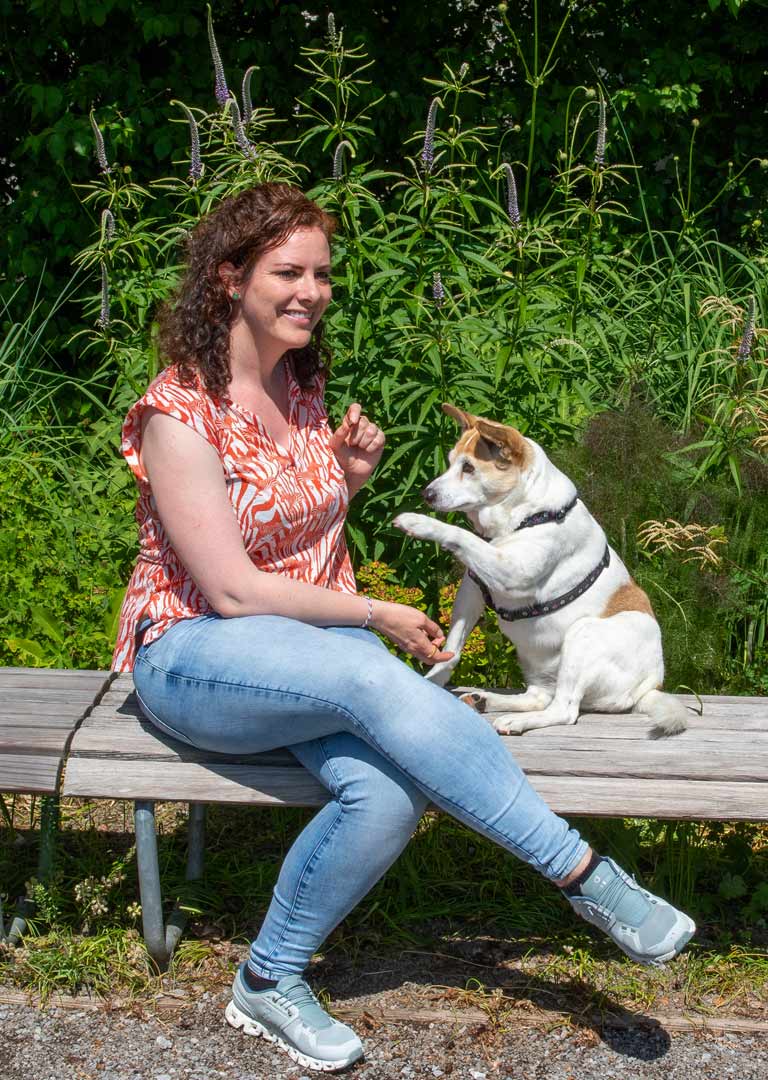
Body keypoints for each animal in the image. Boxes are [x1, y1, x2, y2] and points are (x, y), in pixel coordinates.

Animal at [393, 401, 686, 738]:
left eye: (469, 468)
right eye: (452, 462)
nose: (427, 494)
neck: (528, 514)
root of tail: (650, 685)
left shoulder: (510, 574)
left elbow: (460, 535)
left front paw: (419, 523)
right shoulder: (472, 591)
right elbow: (452, 648)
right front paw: (432, 680)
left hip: (582, 635)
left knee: (564, 710)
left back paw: (515, 721)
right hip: (537, 663)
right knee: (539, 697)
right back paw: (486, 700)